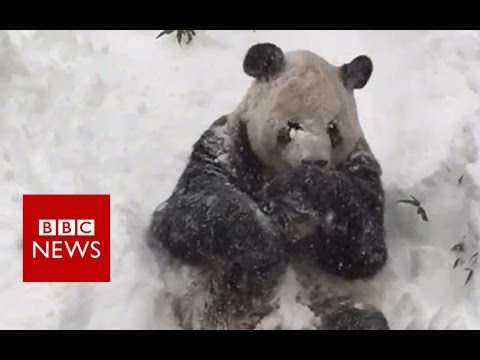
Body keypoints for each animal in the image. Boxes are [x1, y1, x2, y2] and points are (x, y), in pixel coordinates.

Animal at [148, 42, 392, 330]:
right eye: (292, 125)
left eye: (333, 128)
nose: (315, 160)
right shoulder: (224, 145)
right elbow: (186, 213)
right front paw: (265, 242)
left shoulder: (360, 162)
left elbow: (364, 248)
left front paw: (299, 187)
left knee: (361, 319)